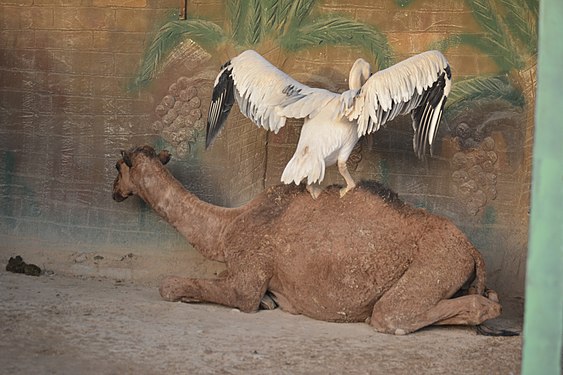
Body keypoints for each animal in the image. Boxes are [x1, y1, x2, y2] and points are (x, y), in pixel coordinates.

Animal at [111, 146, 502, 334]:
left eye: (118, 167)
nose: (113, 192)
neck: (228, 226)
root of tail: (473, 250)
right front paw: (272, 301)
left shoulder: (248, 275)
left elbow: (172, 286)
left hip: (436, 264)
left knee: (394, 314)